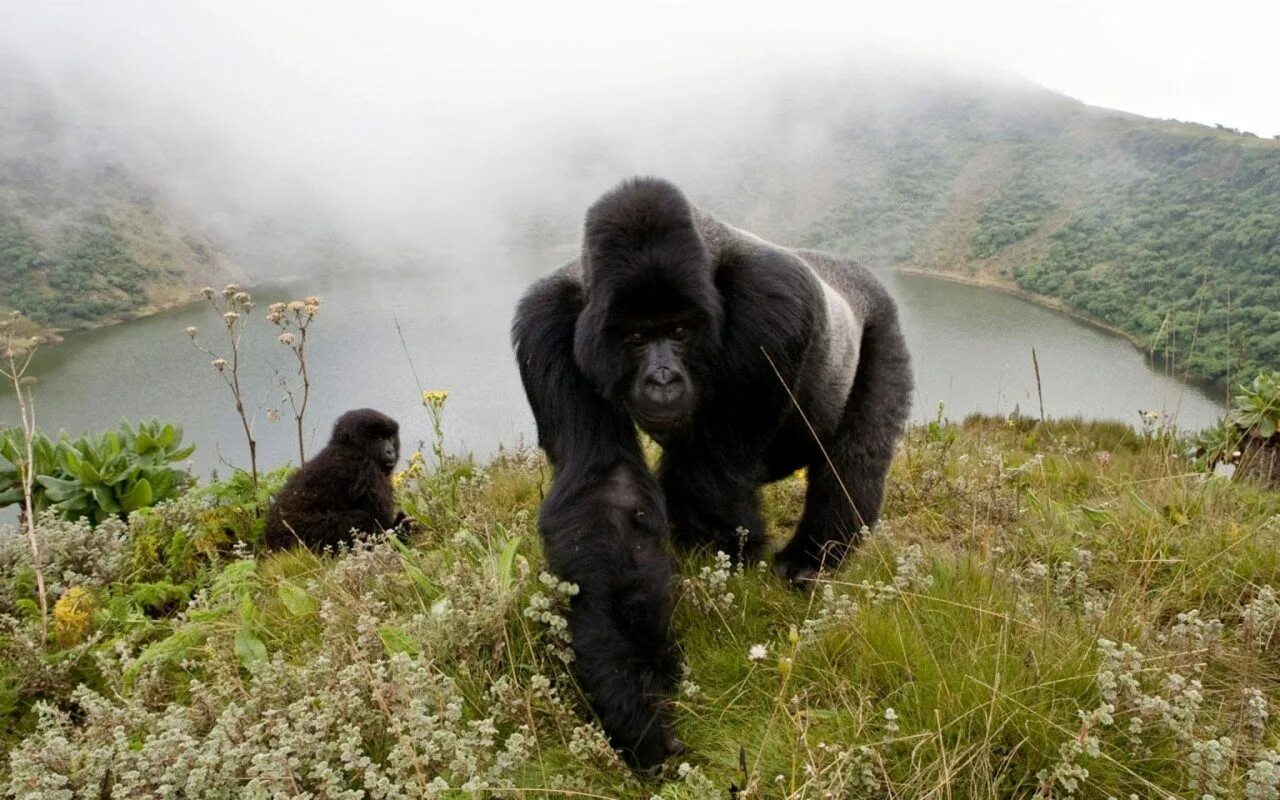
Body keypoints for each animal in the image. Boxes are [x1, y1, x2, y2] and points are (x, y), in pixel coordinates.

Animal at [264, 409, 409, 552]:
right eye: (379, 439)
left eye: (390, 438)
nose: (390, 451)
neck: (349, 447)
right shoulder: (366, 468)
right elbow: (380, 522)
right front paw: (400, 529)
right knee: (359, 519)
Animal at [509, 176, 911, 768]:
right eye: (634, 338)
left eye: (679, 331)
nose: (663, 380)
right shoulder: (549, 323)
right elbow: (607, 493)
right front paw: (635, 701)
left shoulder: (773, 304)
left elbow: (710, 483)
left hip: (881, 318)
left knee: (853, 461)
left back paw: (810, 561)